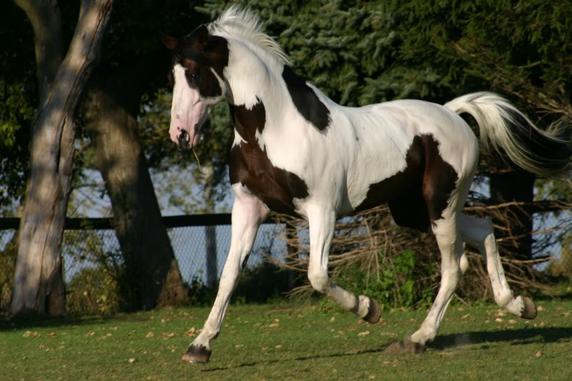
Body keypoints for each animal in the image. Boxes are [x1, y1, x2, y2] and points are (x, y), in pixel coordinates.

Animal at [162, 5, 572, 362]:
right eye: (174, 76)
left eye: (194, 73)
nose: (180, 134)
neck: (276, 128)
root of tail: (453, 114)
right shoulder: (248, 207)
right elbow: (229, 276)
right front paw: (199, 347)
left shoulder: (322, 211)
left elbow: (317, 276)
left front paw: (369, 309)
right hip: (414, 210)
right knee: (483, 230)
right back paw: (519, 305)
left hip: (439, 203)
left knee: (453, 267)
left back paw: (418, 339)